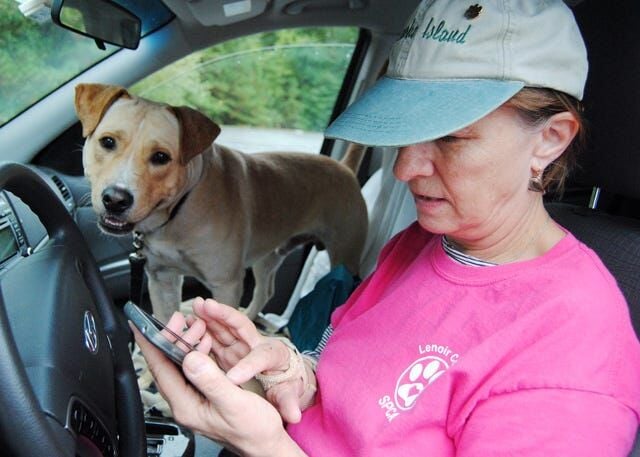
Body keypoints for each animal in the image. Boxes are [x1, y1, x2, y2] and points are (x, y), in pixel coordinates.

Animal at [74, 83, 368, 322]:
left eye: (161, 157)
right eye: (107, 141)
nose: (115, 199)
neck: (180, 210)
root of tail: (345, 167)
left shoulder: (226, 285)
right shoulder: (161, 278)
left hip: (344, 254)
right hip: (268, 256)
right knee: (265, 291)